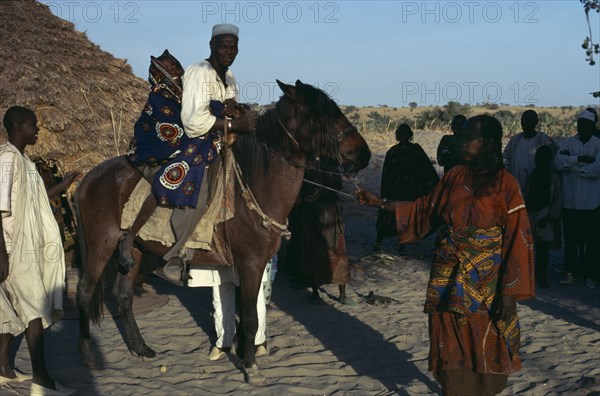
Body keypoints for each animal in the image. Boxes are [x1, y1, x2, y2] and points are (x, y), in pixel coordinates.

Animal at [75, 79, 370, 386]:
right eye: (321, 116)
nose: (364, 153)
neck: (255, 187)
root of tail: (89, 177)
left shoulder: (252, 265)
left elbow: (246, 313)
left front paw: (243, 352)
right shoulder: (250, 264)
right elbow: (250, 318)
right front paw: (250, 366)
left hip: (132, 249)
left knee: (123, 295)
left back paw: (140, 348)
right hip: (100, 245)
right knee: (84, 291)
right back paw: (88, 353)